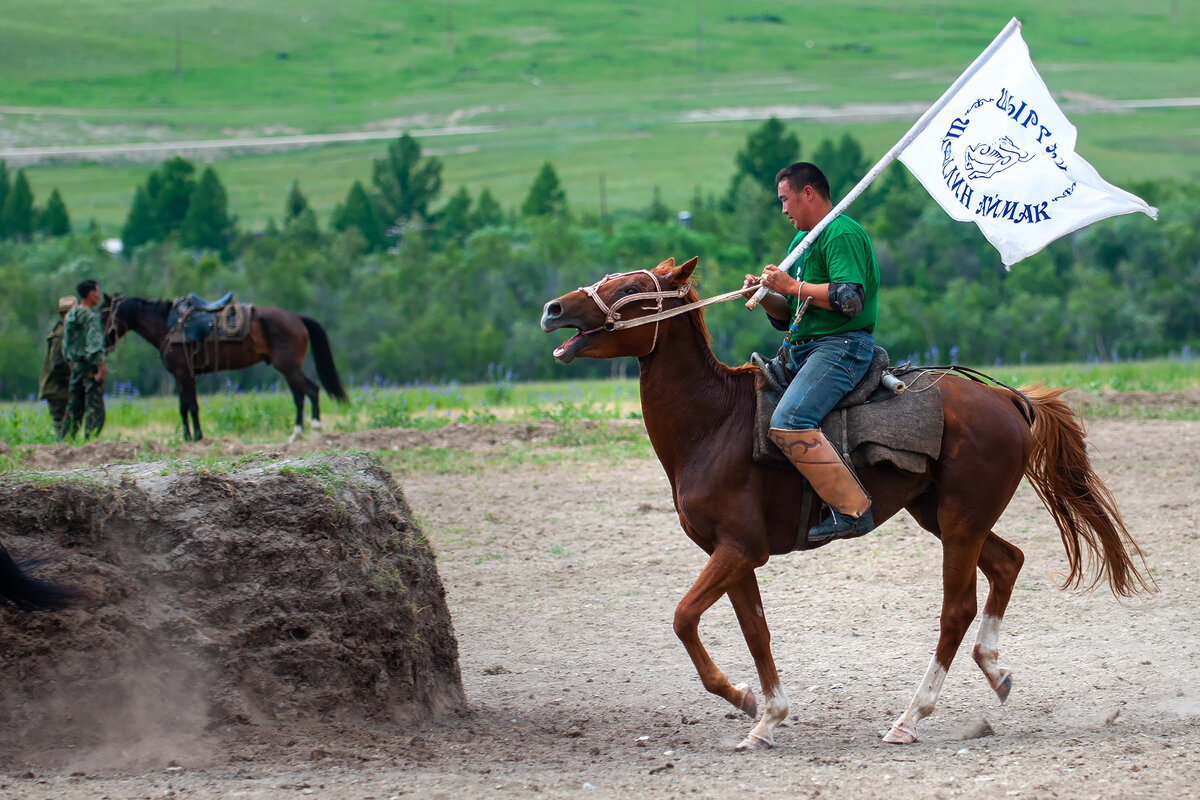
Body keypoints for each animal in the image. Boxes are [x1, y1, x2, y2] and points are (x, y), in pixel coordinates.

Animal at [102, 293, 348, 443]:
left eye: (105, 314)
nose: (103, 344)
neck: (168, 326)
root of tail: (297, 317)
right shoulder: (181, 377)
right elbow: (184, 407)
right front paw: (188, 438)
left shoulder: (184, 374)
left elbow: (191, 406)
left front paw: (197, 437)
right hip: (287, 368)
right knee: (299, 395)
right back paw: (297, 434)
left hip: (288, 366)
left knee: (311, 390)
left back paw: (315, 428)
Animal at [540, 256, 1147, 753]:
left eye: (631, 288)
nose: (553, 307)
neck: (714, 424)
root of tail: (1006, 399)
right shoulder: (733, 555)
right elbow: (756, 631)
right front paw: (767, 717)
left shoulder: (739, 549)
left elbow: (684, 617)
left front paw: (741, 697)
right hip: (942, 516)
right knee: (1007, 562)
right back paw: (995, 673)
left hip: (960, 521)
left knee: (957, 609)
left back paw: (910, 718)